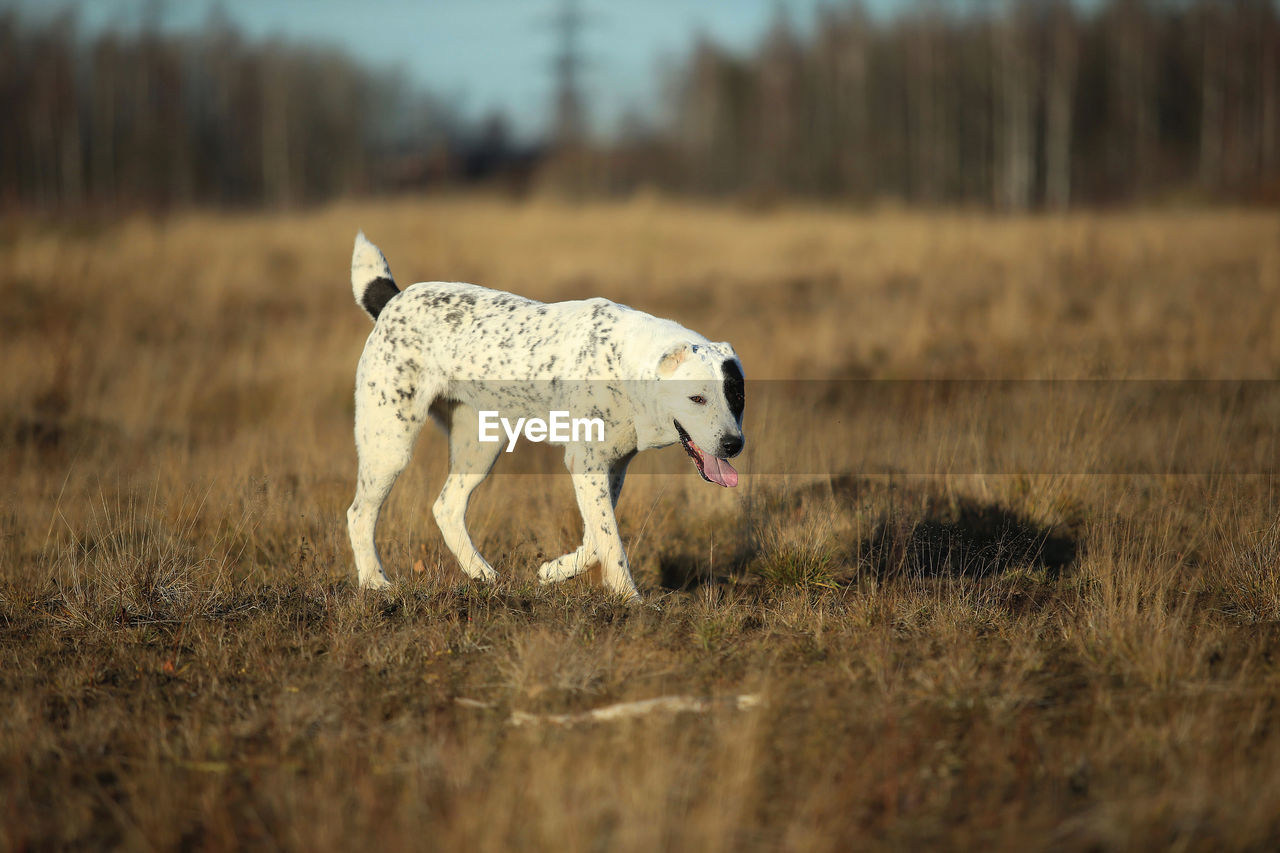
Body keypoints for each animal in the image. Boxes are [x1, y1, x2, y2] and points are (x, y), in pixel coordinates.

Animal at [345, 233, 747, 596]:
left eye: (737, 396)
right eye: (697, 398)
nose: (734, 445)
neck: (626, 366)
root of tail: (392, 299)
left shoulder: (613, 466)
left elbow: (596, 538)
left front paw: (554, 571)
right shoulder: (587, 463)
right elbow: (610, 540)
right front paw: (630, 600)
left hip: (481, 446)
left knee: (446, 507)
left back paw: (482, 575)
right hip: (391, 445)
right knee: (360, 514)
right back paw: (375, 583)